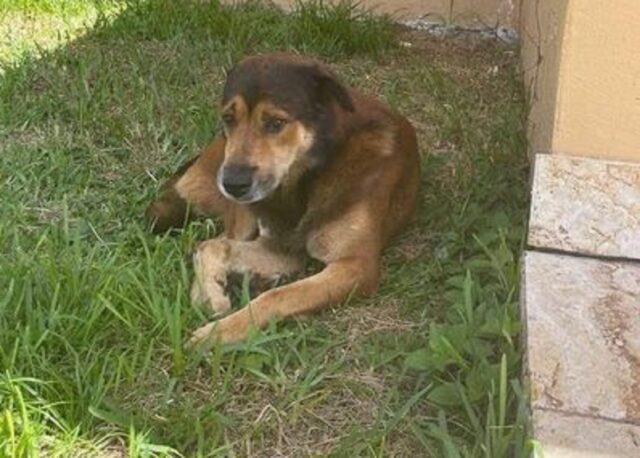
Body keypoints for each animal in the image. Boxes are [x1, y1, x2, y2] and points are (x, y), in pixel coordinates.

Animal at [148, 52, 422, 348]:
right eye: (228, 118)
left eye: (276, 123)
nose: (232, 184)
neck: (306, 180)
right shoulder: (280, 246)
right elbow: (213, 246)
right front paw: (212, 298)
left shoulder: (356, 266)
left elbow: (279, 295)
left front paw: (219, 333)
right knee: (214, 240)